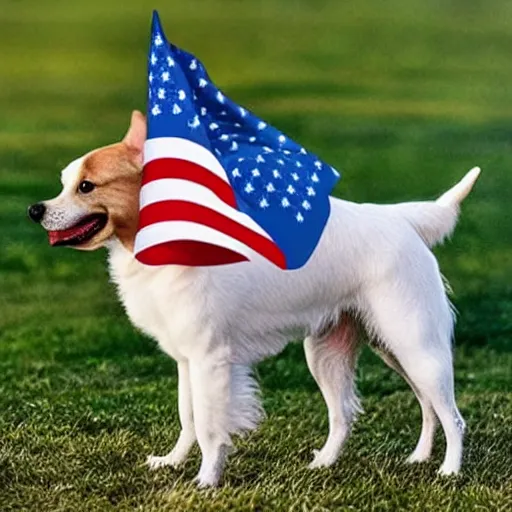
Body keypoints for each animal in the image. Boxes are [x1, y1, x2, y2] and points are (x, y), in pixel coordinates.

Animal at [29, 110, 480, 486]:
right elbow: (187, 418)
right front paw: (173, 462)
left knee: (451, 416)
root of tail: (399, 217)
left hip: (414, 345)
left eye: (86, 187)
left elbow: (209, 427)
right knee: (368, 413)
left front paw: (205, 481)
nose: (35, 210)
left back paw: (448, 472)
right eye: (65, 185)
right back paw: (360, 462)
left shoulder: (210, 359)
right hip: (352, 352)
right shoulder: (186, 359)